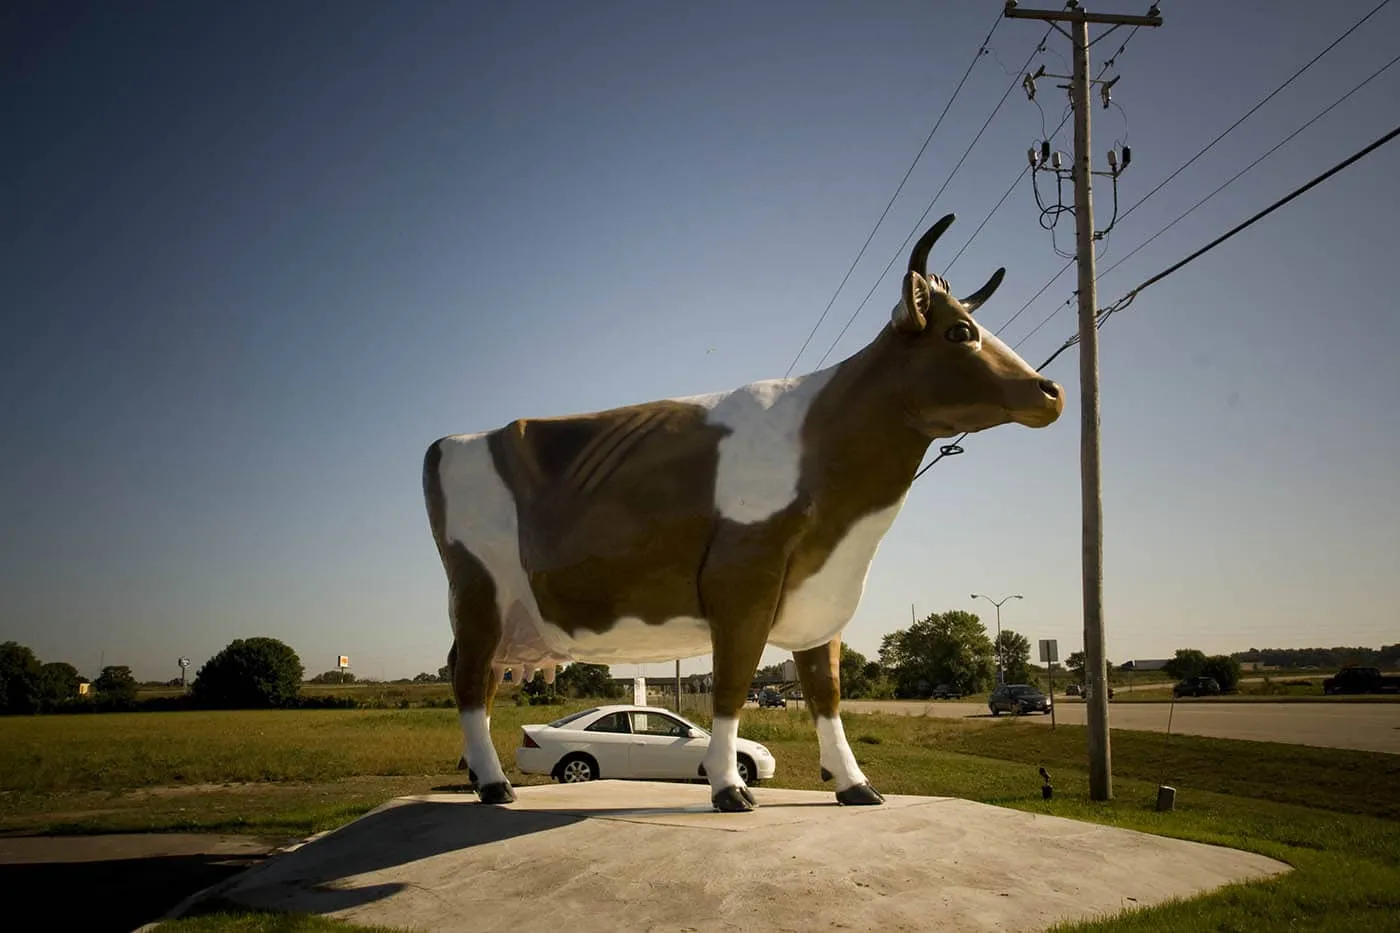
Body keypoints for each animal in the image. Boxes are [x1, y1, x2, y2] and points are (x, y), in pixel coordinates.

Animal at [422, 214, 1058, 812]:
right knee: (468, 679)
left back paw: (482, 780)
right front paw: (729, 788)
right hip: (479, 591)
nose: (1050, 391)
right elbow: (731, 685)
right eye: (960, 332)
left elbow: (826, 693)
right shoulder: (742, 580)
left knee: (482, 679)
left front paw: (854, 785)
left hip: (507, 614)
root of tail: (448, 442)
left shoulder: (820, 594)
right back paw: (495, 784)